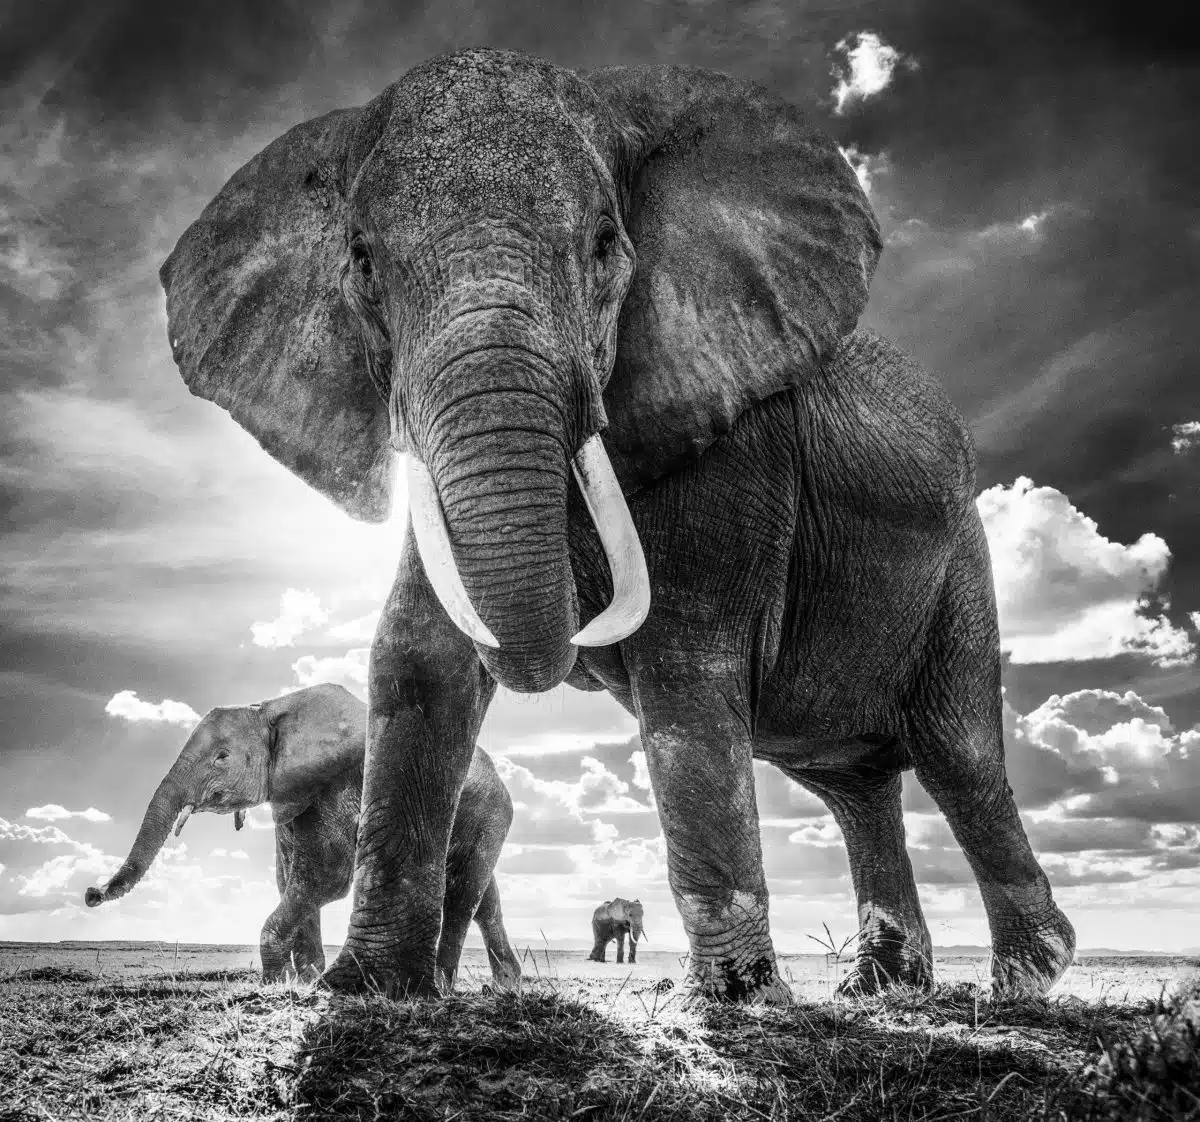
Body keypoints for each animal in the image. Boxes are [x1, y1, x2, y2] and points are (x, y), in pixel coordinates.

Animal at [84, 683, 522, 990]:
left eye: (222, 757)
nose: (91, 893)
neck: (269, 709)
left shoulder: (337, 783)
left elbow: (325, 878)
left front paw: (277, 983)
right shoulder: (292, 792)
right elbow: (288, 877)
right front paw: (307, 979)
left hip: (492, 813)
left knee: (462, 895)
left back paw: (444, 984)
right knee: (486, 901)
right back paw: (506, 986)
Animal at [156, 47, 1076, 1003]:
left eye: (605, 244)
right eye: (364, 262)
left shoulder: (734, 441)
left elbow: (684, 661)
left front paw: (738, 1001)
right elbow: (420, 653)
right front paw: (366, 990)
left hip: (960, 565)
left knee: (959, 756)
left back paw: (1027, 977)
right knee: (854, 785)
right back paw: (881, 991)